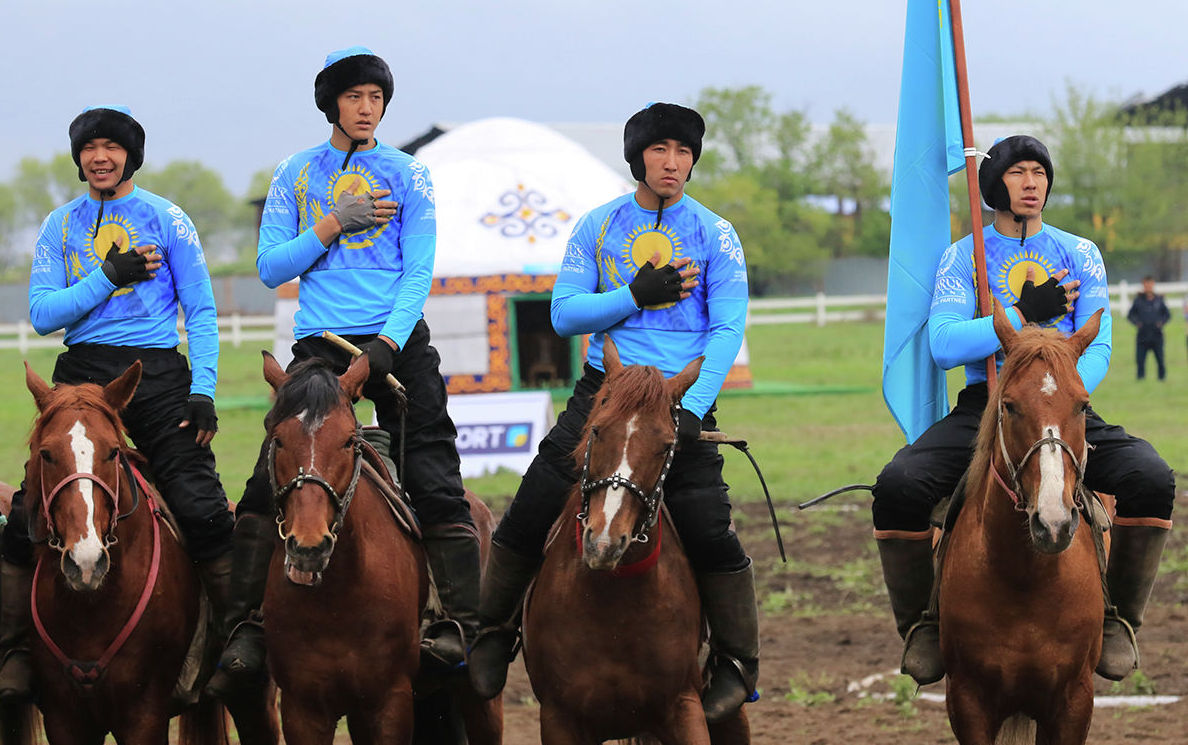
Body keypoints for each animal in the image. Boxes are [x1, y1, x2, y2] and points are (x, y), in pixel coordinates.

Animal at [13, 363, 239, 745]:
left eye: (113, 452)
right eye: (45, 454)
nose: (86, 562)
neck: (91, 609)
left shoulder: (144, 718)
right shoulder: (63, 719)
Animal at [260, 351, 501, 741]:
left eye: (348, 441)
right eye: (277, 439)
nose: (309, 545)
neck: (337, 599)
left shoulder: (389, 703)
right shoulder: (302, 709)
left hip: (479, 698)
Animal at [522, 342, 746, 745]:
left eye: (666, 445)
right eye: (597, 430)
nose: (605, 541)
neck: (614, 601)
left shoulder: (684, 708)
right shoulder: (560, 719)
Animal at [940, 304, 1107, 745]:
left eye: (1082, 405)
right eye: (1010, 405)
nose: (1053, 523)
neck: (1025, 579)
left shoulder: (1073, 701)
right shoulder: (968, 700)